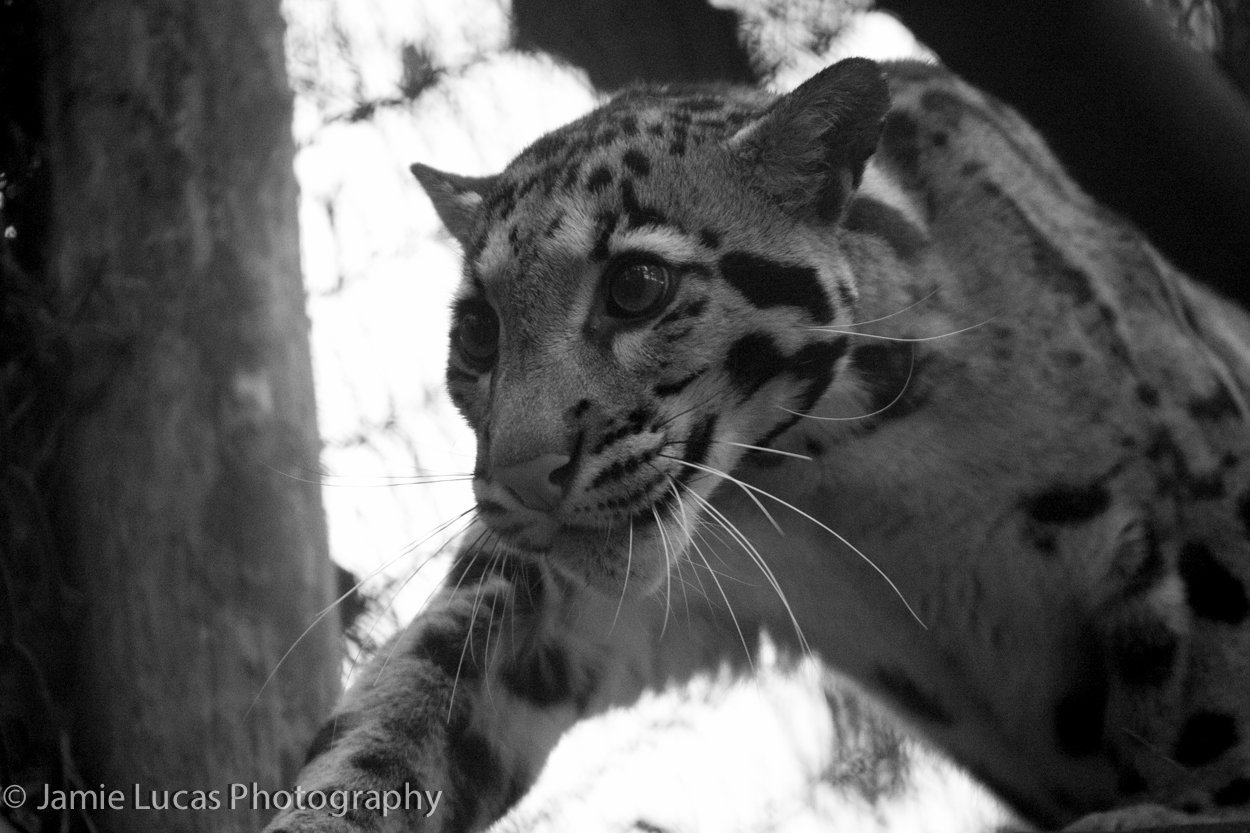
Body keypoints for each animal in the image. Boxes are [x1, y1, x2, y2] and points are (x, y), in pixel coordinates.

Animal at [264, 57, 1250, 832]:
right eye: (477, 335)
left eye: (638, 285)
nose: (518, 475)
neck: (842, 465)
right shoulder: (536, 596)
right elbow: (401, 715)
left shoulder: (1197, 502)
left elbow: (1210, 708)